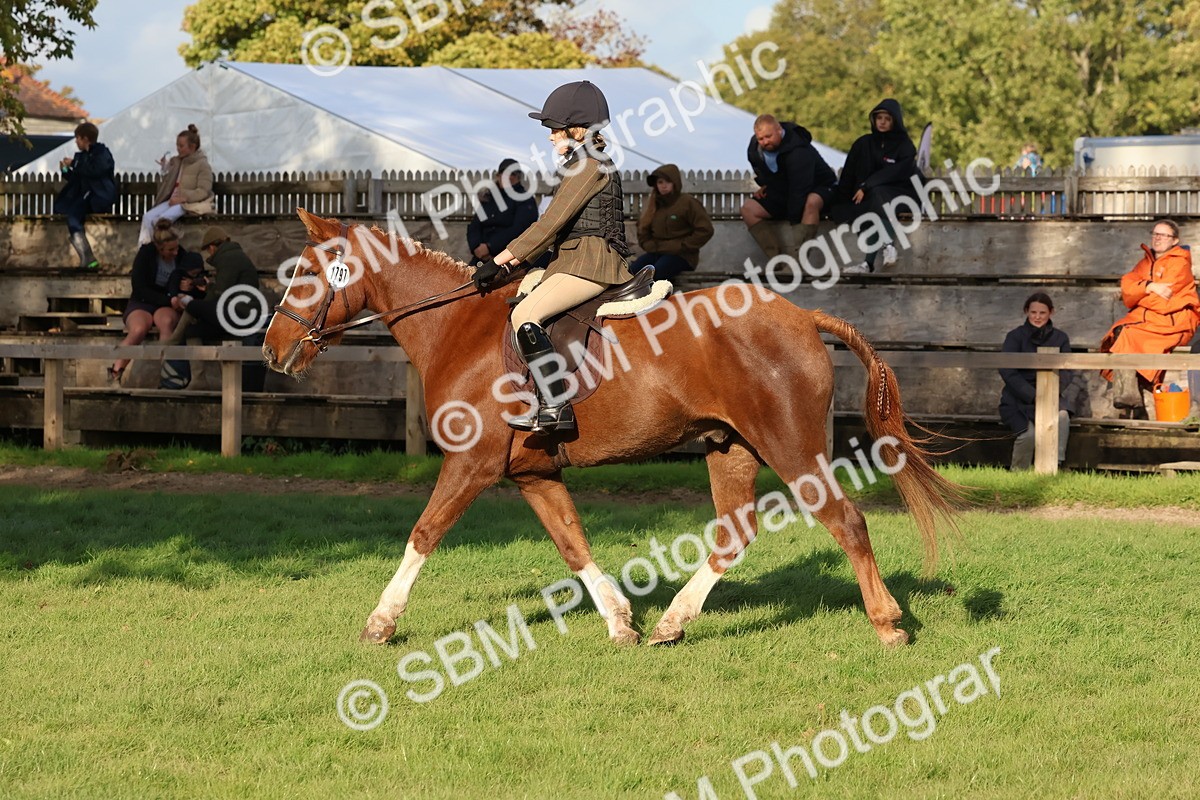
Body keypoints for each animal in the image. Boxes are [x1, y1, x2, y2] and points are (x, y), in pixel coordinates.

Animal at [263, 209, 961, 648]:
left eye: (306, 274)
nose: (272, 350)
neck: (457, 328)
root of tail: (800, 315)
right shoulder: (533, 473)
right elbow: (573, 545)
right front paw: (621, 622)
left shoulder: (473, 464)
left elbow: (424, 533)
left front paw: (381, 623)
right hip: (730, 446)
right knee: (735, 534)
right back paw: (672, 624)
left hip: (792, 448)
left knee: (846, 522)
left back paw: (887, 623)